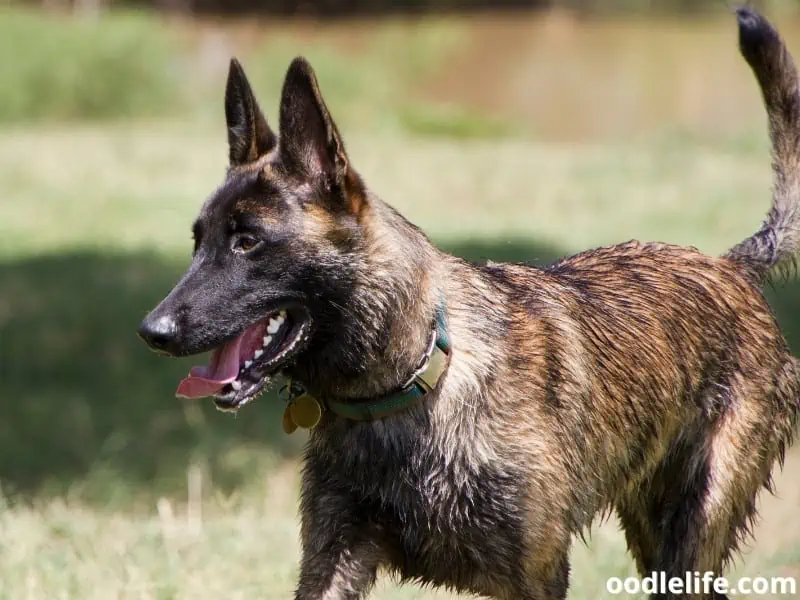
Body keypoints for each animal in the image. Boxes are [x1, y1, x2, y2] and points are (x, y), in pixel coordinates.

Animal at [141, 7, 800, 596]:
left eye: (248, 241)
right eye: (199, 241)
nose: (153, 331)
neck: (409, 382)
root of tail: (729, 267)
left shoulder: (534, 575)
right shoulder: (333, 558)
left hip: (690, 536)